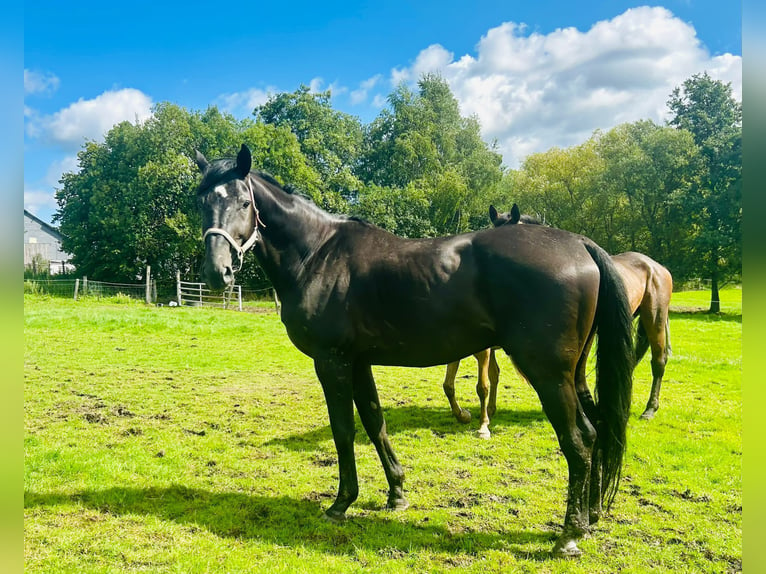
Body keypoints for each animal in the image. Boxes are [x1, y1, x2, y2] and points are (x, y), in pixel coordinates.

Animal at [194, 144, 636, 560]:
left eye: (244, 202)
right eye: (202, 201)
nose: (218, 272)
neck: (318, 255)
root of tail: (578, 243)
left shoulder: (332, 361)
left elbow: (344, 429)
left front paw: (341, 503)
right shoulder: (359, 361)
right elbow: (375, 423)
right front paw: (397, 494)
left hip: (547, 373)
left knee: (578, 440)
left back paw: (569, 535)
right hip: (573, 372)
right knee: (596, 429)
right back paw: (591, 517)